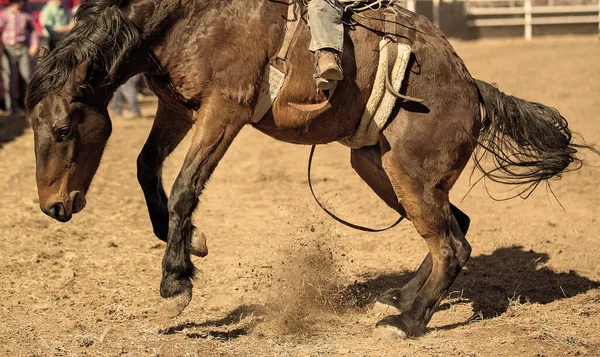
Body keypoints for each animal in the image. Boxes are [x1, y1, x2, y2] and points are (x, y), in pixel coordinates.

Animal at [24, 0, 596, 336]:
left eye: (62, 129)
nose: (53, 207)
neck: (189, 18)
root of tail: (474, 88)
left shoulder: (225, 108)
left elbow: (186, 185)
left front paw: (175, 284)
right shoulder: (179, 106)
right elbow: (147, 168)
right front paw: (192, 245)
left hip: (409, 175)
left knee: (452, 244)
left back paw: (408, 322)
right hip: (379, 167)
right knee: (457, 228)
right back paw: (399, 298)